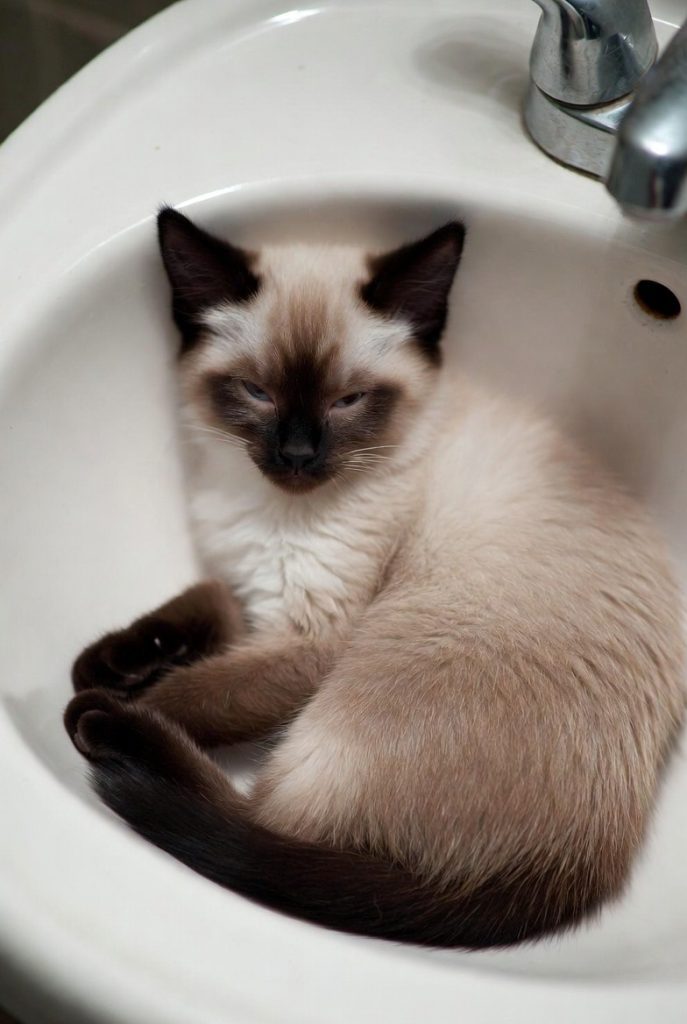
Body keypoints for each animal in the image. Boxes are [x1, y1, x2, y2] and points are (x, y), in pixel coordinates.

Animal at [64, 208, 686, 948]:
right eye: (256, 392)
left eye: (349, 400)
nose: (296, 455)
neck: (272, 508)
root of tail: (571, 870)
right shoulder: (257, 598)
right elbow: (205, 598)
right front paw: (118, 660)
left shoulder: (313, 639)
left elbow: (199, 693)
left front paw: (118, 693)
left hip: (356, 691)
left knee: (261, 832)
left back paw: (109, 729)